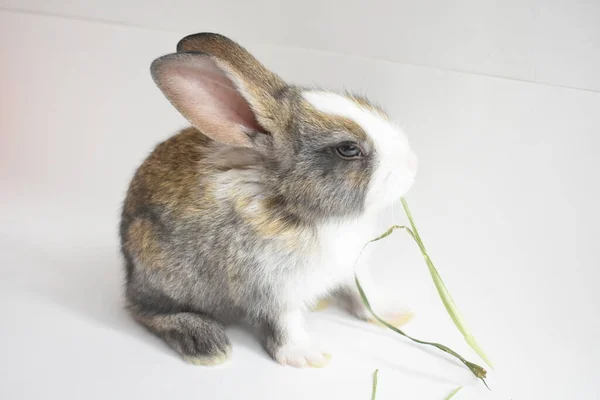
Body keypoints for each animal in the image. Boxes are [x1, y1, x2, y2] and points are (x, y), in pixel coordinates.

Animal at [121, 32, 418, 368]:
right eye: (348, 149)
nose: (413, 165)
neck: (294, 203)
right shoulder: (273, 289)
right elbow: (285, 325)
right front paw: (308, 357)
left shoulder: (352, 268)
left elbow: (363, 293)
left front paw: (394, 314)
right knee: (144, 310)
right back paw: (206, 344)